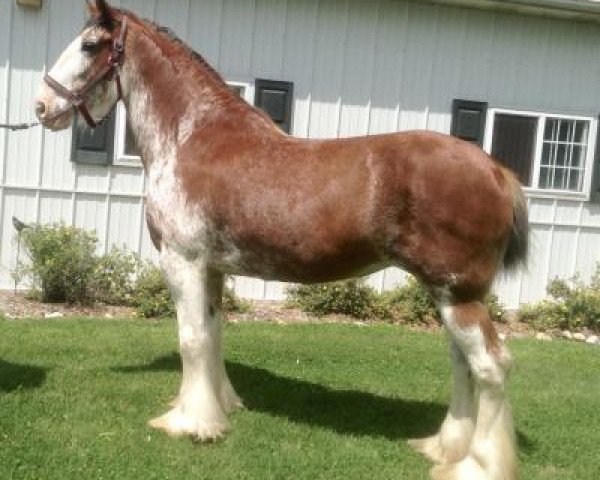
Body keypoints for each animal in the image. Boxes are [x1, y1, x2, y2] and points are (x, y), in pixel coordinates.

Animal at [35, 1, 528, 478]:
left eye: (90, 45)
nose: (40, 106)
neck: (192, 137)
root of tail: (496, 171)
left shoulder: (183, 260)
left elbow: (191, 338)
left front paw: (191, 424)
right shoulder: (213, 268)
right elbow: (213, 332)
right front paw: (221, 406)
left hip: (458, 295)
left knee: (490, 366)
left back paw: (479, 465)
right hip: (446, 294)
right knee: (463, 365)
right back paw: (444, 447)